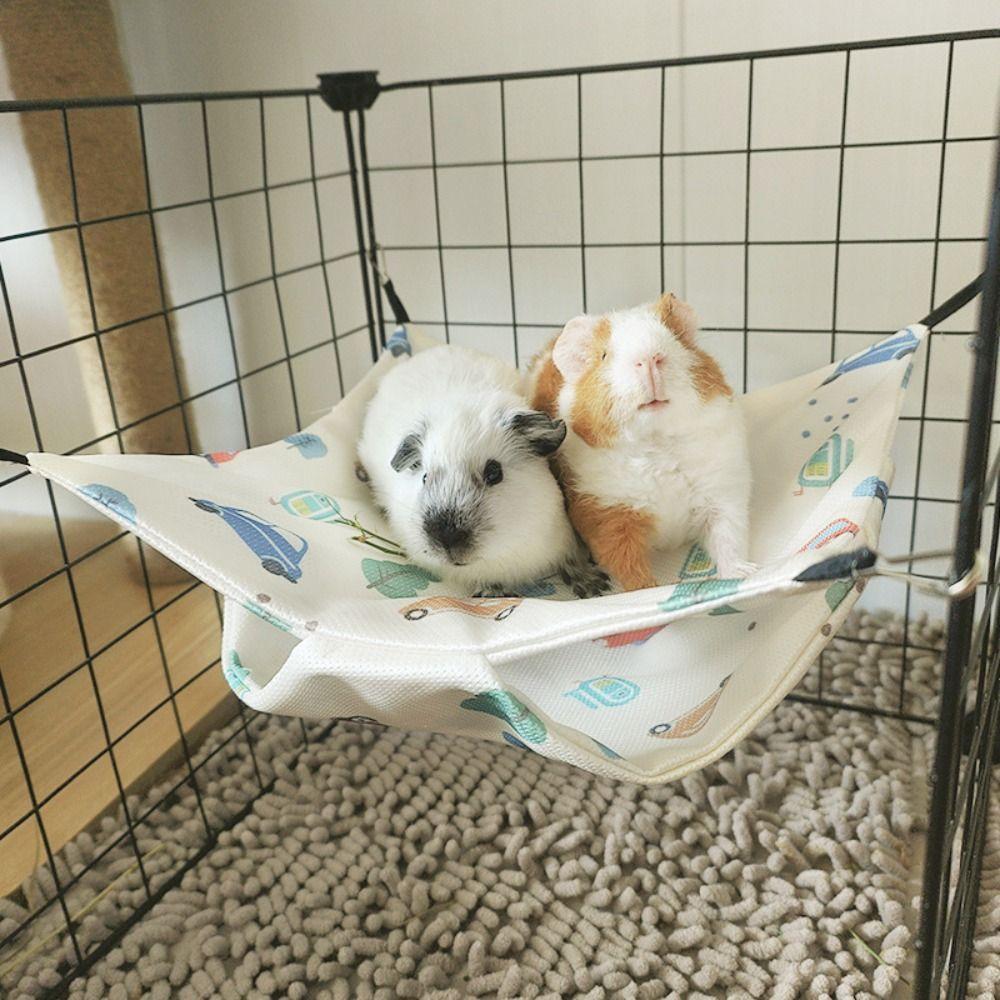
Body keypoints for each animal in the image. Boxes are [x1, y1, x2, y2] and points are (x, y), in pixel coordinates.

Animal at [358, 344, 607, 597]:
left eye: (494, 472)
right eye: (425, 477)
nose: (447, 538)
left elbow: (572, 559)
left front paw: (595, 586)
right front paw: (494, 594)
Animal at [527, 293, 754, 592]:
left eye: (675, 338)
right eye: (604, 355)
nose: (649, 359)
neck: (657, 444)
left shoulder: (723, 497)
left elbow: (728, 540)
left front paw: (744, 574)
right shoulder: (609, 516)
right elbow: (629, 567)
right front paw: (650, 589)